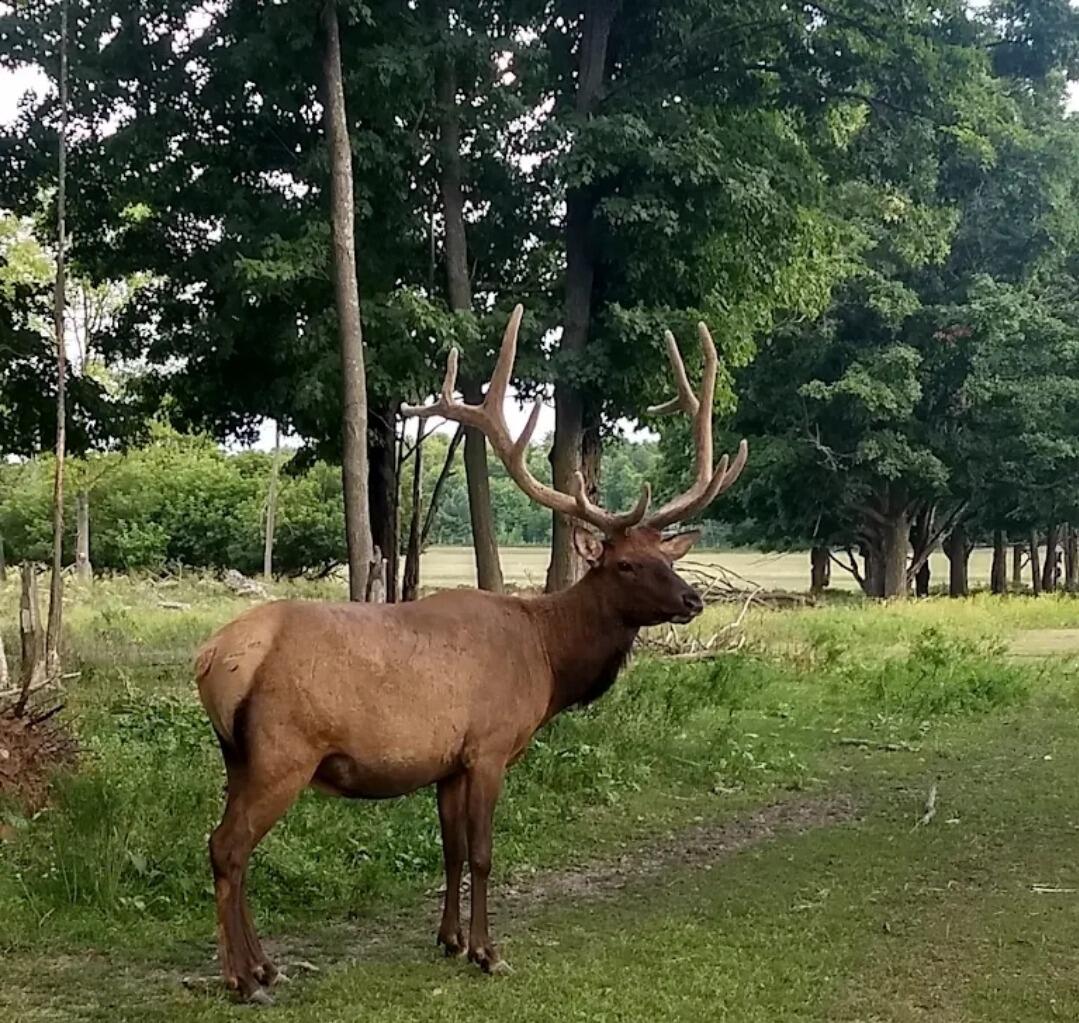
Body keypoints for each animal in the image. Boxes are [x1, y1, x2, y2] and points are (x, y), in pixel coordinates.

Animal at [195, 304, 747, 1003]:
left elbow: (451, 850)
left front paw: (450, 938)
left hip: (237, 757)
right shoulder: (488, 745)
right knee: (229, 846)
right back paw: (245, 978)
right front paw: (488, 951)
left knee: (225, 845)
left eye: (665, 555)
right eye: (625, 563)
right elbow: (484, 852)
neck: (547, 658)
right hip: (282, 752)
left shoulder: (448, 762)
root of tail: (211, 660)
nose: (692, 598)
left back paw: (263, 965)